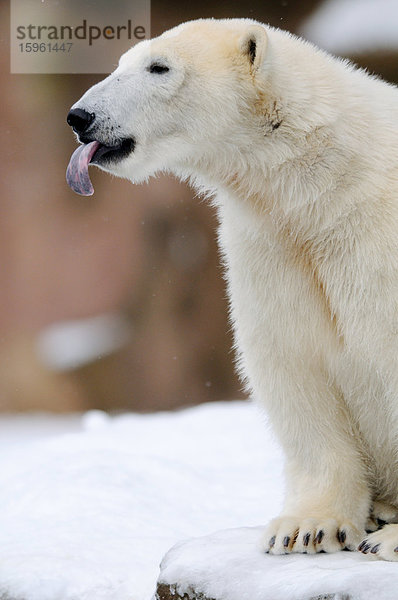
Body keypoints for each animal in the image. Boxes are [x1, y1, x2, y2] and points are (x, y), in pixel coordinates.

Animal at [66, 19, 398, 564]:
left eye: (160, 67)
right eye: (120, 62)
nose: (80, 116)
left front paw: (383, 540)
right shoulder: (273, 248)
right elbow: (293, 363)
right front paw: (307, 527)